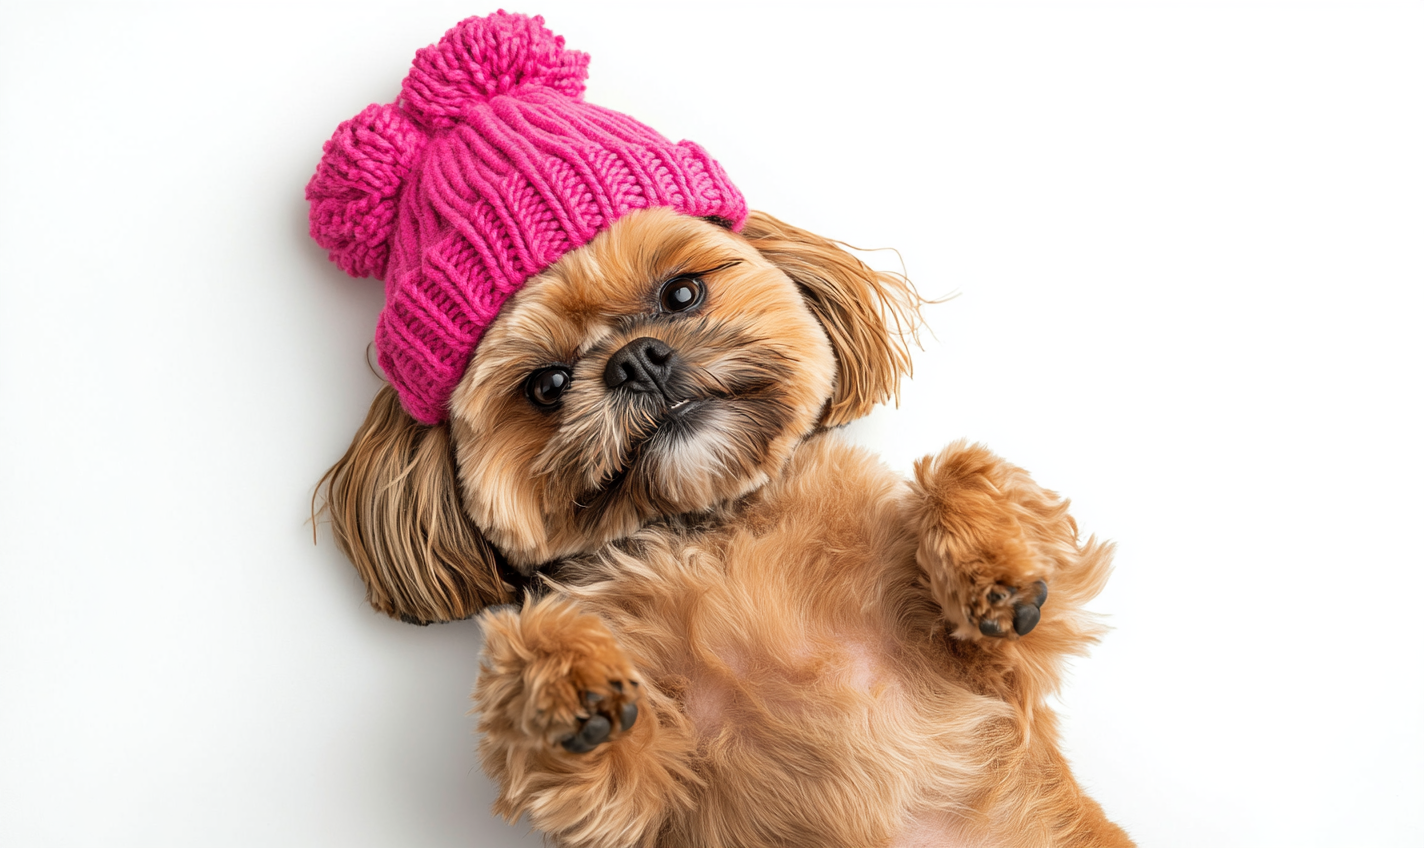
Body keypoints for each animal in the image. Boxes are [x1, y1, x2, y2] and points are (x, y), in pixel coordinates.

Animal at [309, 13, 1133, 848]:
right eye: (545, 386)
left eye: (682, 293)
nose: (637, 360)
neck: (716, 536)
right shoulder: (640, 799)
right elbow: (590, 746)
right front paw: (566, 683)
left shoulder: (1009, 670)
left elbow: (972, 487)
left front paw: (994, 568)